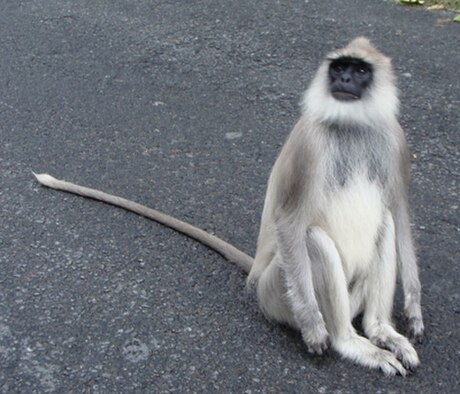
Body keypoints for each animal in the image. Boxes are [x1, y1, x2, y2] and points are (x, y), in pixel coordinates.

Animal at [35, 37, 424, 376]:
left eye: (359, 71)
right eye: (339, 68)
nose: (342, 80)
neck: (351, 126)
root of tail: (259, 275)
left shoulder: (395, 138)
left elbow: (400, 211)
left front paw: (414, 308)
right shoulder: (309, 144)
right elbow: (290, 221)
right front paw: (315, 330)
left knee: (386, 223)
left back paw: (381, 329)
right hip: (278, 293)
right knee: (313, 240)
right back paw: (350, 341)